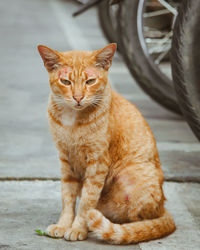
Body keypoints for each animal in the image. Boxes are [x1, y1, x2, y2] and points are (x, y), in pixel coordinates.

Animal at [37, 43, 175, 244]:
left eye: (90, 81)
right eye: (66, 82)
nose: (78, 97)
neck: (72, 120)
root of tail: (163, 207)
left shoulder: (98, 163)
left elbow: (86, 202)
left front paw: (77, 228)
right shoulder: (65, 160)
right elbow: (67, 197)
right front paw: (63, 225)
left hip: (132, 178)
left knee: (140, 221)